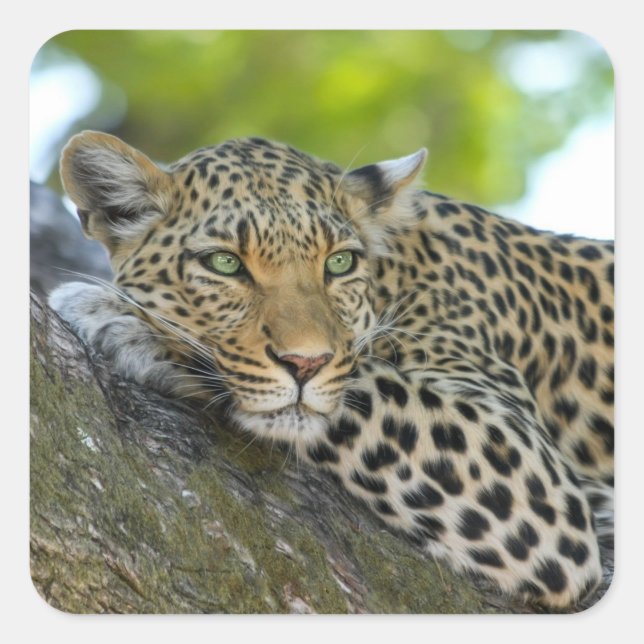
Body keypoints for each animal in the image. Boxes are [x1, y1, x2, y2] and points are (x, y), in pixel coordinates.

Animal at [48, 130, 614, 611]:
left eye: (339, 264)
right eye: (224, 264)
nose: (306, 363)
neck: (398, 273)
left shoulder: (535, 474)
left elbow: (360, 385)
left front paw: (121, 320)